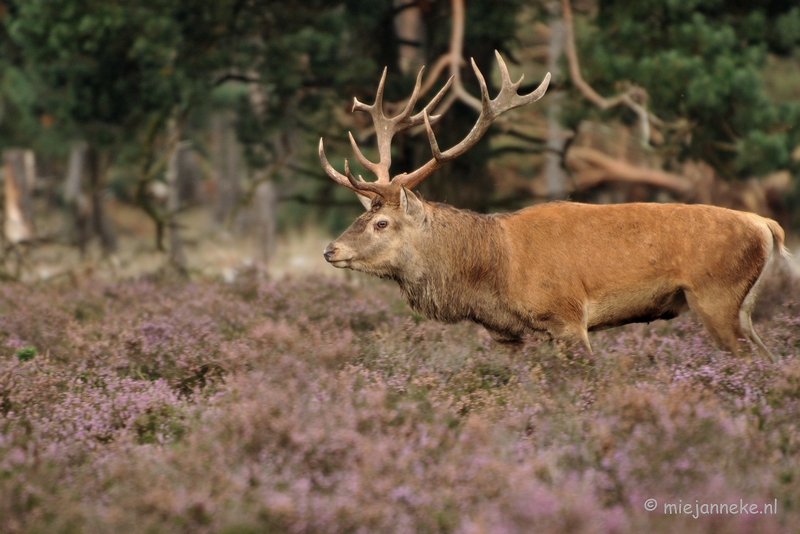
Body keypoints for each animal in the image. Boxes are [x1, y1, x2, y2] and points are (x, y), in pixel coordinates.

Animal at [318, 52, 788, 362]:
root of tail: (767, 226)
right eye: (361, 215)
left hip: (717, 297)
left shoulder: (567, 317)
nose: (329, 250)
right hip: (740, 308)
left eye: (381, 223)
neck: (493, 273)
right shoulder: (507, 336)